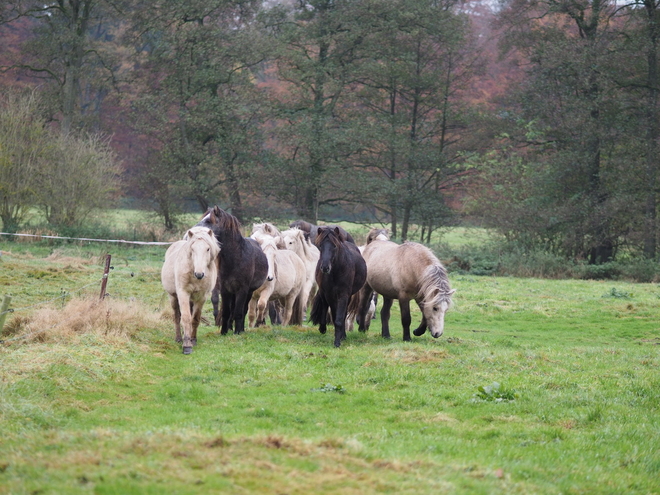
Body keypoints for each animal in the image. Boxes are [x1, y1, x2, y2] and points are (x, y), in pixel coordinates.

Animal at [196, 203, 268, 336]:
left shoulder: (242, 290)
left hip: (248, 292)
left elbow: (239, 312)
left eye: (208, 221)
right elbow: (226, 312)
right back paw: (230, 327)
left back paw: (241, 329)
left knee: (243, 310)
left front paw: (238, 332)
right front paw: (224, 332)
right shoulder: (225, 289)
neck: (237, 258)